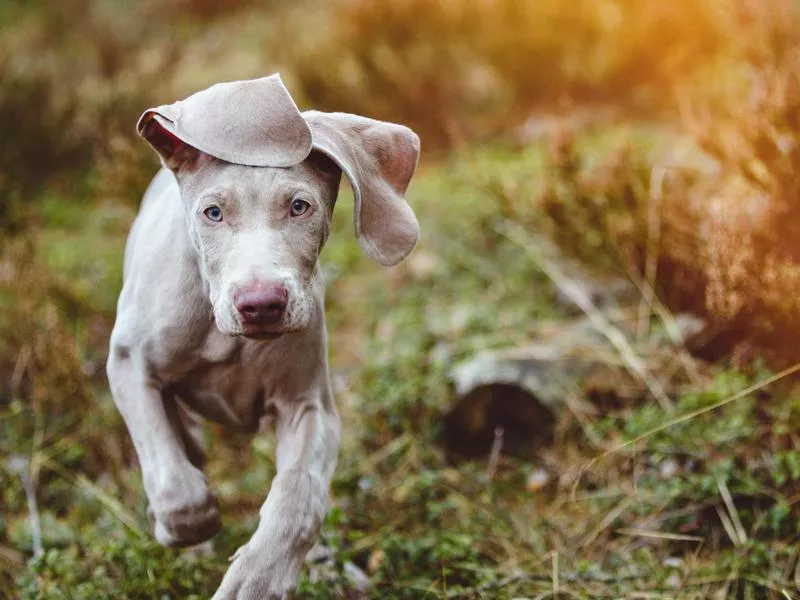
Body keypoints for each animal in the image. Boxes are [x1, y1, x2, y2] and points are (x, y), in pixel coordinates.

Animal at [108, 76, 422, 600]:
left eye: (299, 207)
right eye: (213, 213)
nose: (260, 304)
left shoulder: (308, 404)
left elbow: (299, 498)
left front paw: (256, 580)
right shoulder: (130, 364)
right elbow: (176, 483)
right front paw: (183, 526)